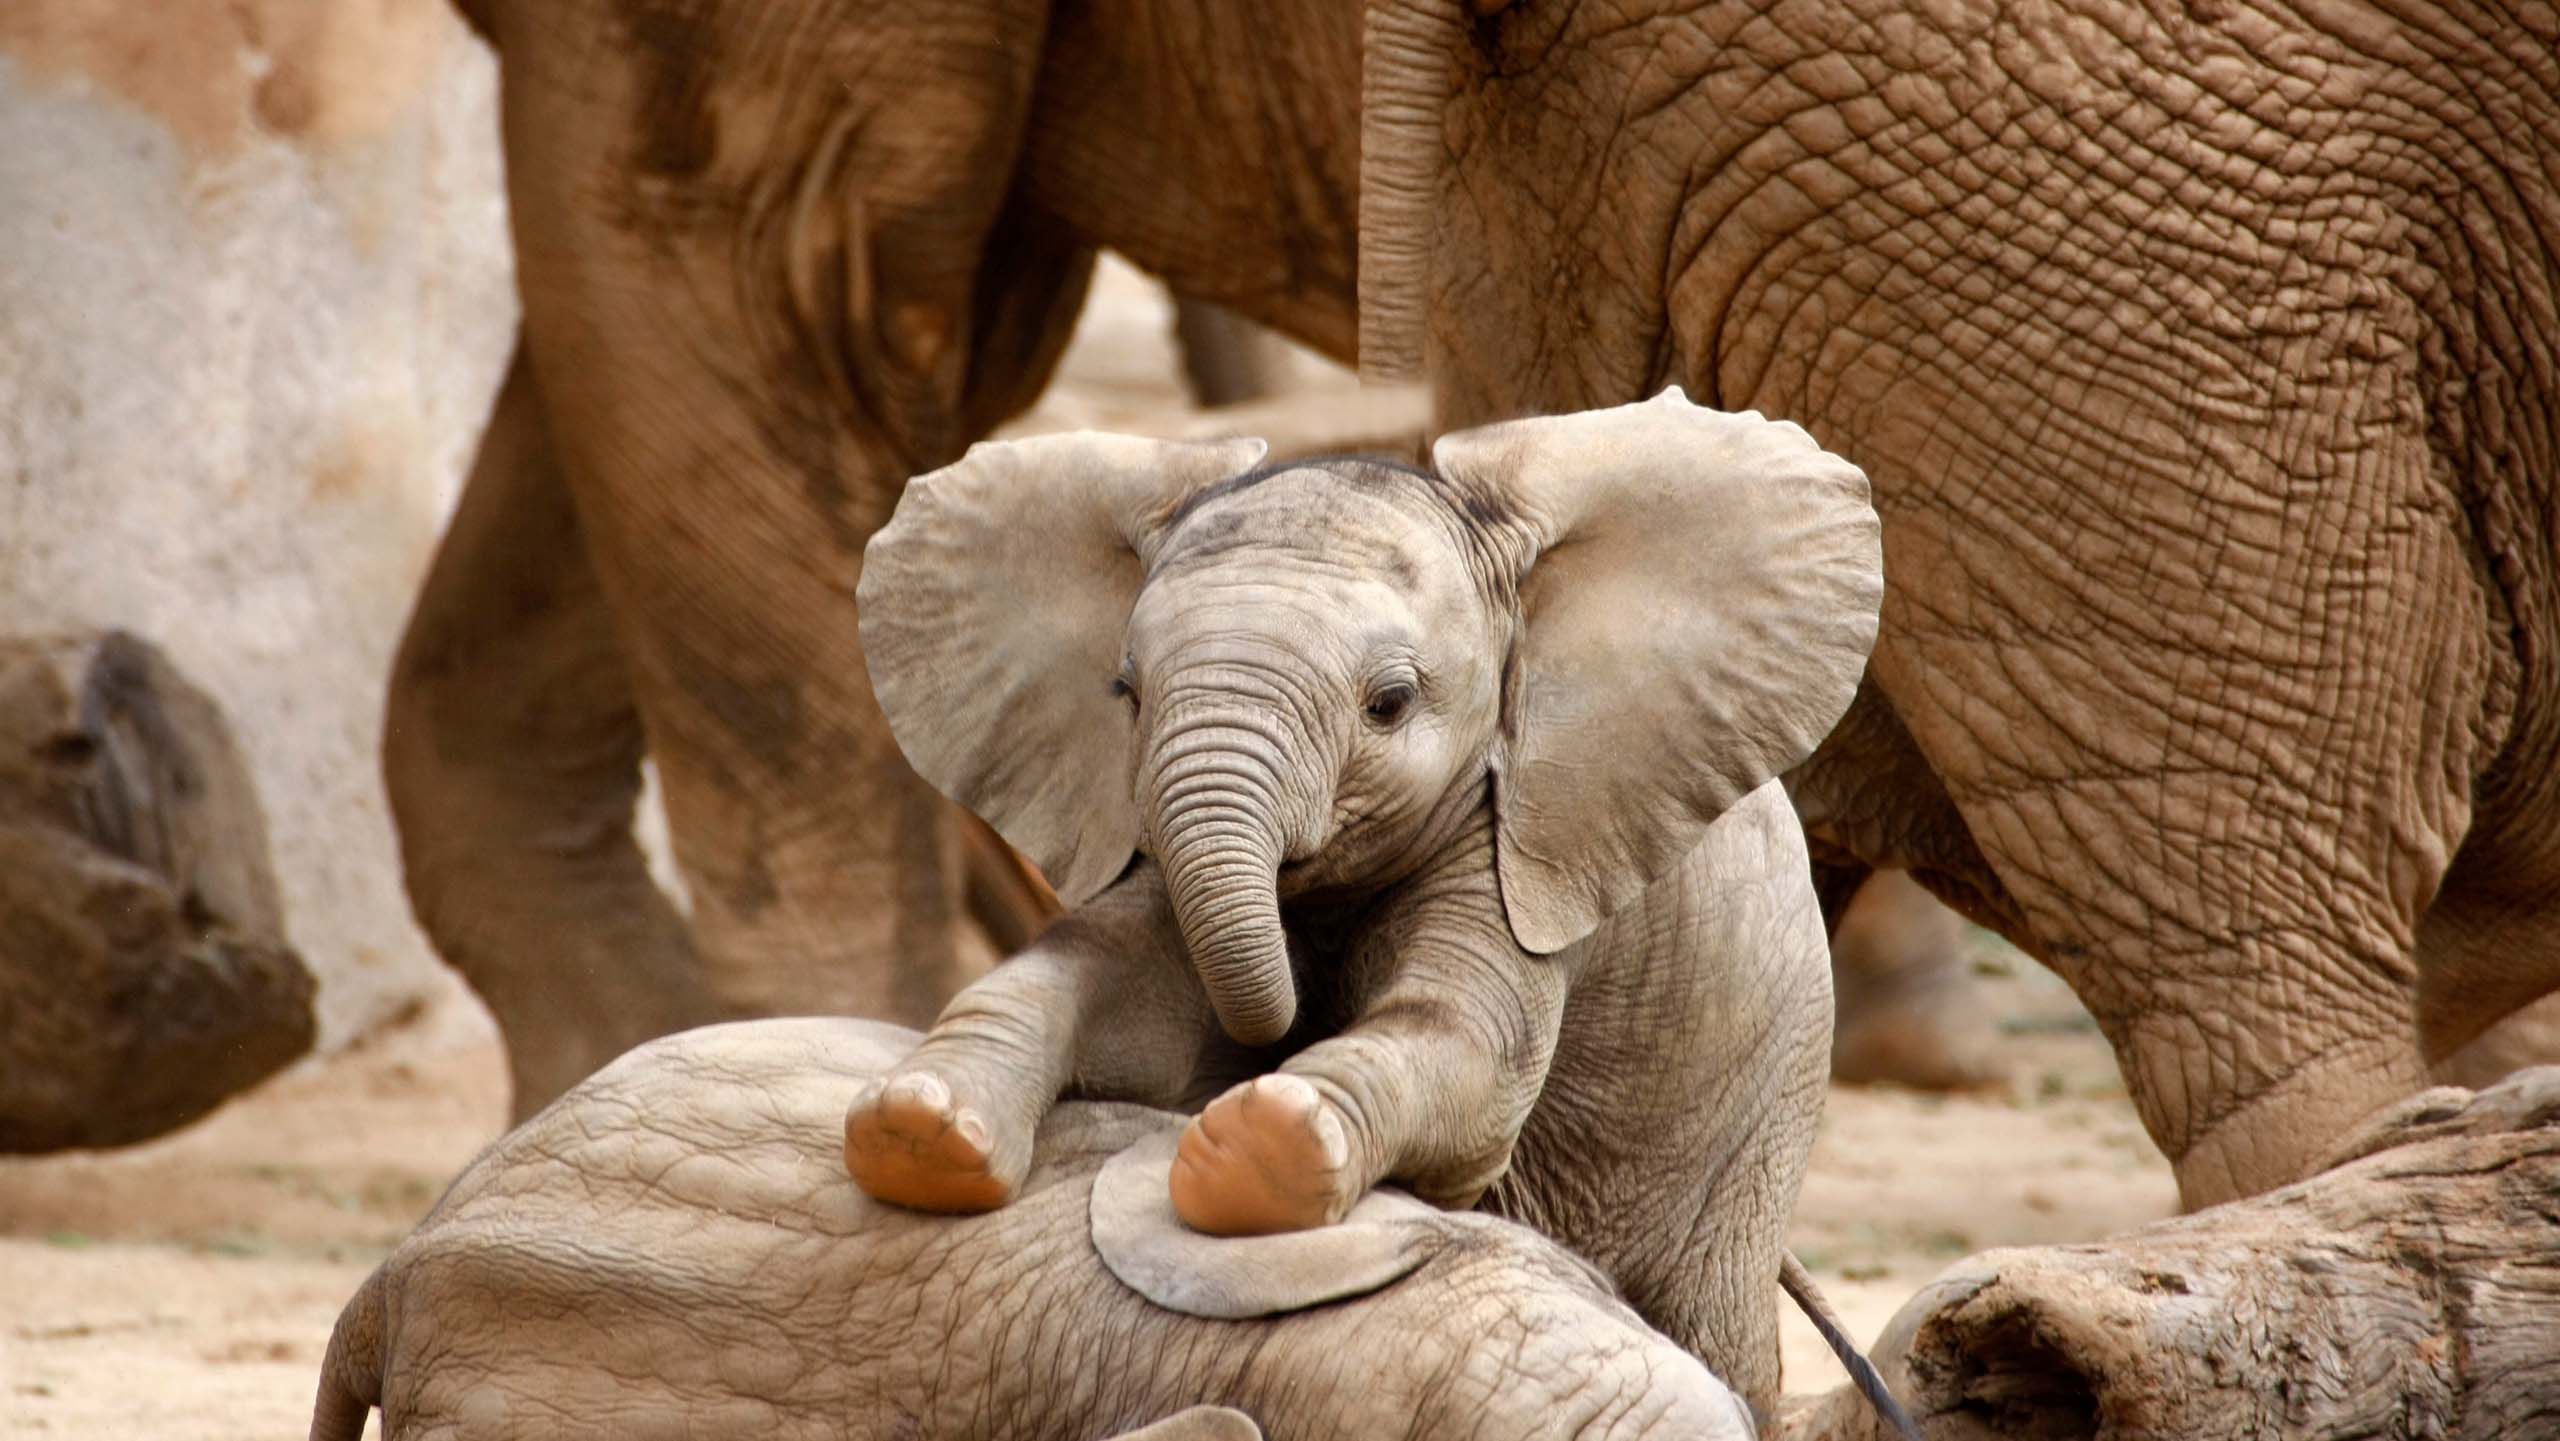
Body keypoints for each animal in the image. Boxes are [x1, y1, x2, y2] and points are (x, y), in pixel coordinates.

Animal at [840, 391, 1884, 1416]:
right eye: (1125, 694)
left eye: (1388, 703)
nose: (1285, 1026)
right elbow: (1115, 986)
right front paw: (916, 1128)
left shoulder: (1525, 840)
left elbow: (1469, 1051)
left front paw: (1257, 1146)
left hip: (1763, 1106)